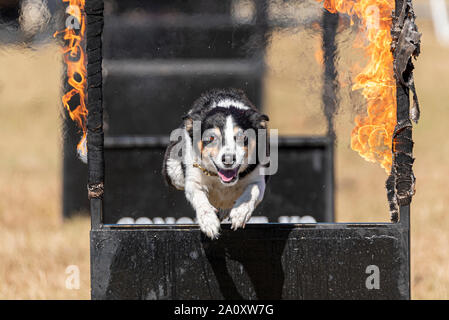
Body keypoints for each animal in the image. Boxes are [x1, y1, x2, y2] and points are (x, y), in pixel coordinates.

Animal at [162, 89, 270, 239]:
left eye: (243, 137)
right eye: (211, 138)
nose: (229, 159)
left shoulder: (258, 177)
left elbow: (253, 190)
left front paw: (240, 213)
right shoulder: (193, 178)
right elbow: (199, 197)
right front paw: (209, 222)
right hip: (173, 170)